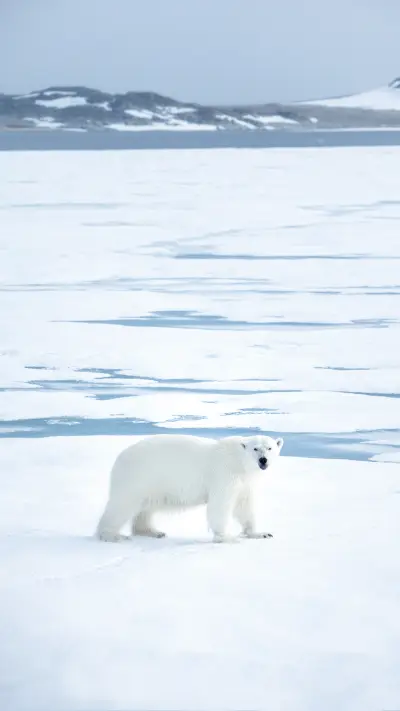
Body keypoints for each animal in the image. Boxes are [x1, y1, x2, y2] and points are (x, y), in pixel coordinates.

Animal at [96, 433, 284, 543]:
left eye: (270, 448)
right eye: (255, 448)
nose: (263, 460)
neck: (238, 460)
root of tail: (120, 457)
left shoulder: (244, 481)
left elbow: (244, 505)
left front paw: (260, 533)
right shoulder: (224, 474)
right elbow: (220, 504)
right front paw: (226, 537)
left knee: (146, 508)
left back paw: (153, 531)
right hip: (138, 476)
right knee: (122, 504)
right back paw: (112, 535)